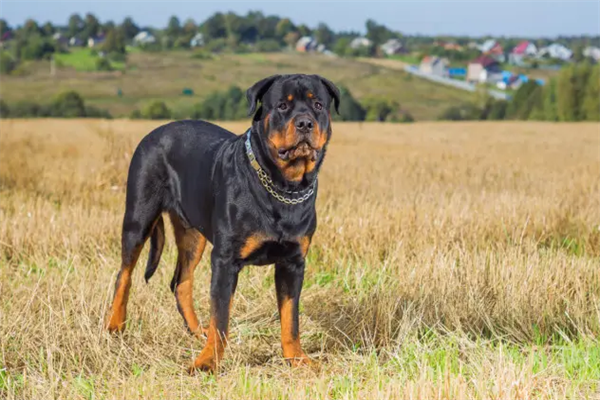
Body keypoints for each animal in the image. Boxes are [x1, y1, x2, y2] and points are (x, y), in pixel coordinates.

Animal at [106, 73, 338, 374]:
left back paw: (196, 331)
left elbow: (290, 318)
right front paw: (207, 362)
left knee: (181, 281)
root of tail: (154, 132)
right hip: (138, 217)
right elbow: (221, 317)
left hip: (193, 236)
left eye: (318, 105)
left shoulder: (293, 262)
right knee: (125, 274)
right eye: (283, 106)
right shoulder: (225, 260)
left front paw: (297, 359)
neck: (283, 186)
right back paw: (115, 326)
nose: (305, 123)